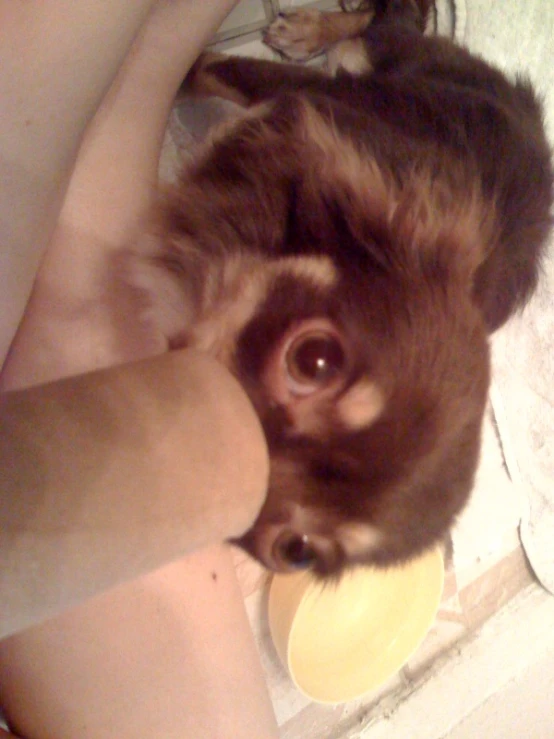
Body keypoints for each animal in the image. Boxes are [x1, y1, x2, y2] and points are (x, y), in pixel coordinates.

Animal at [132, 0, 548, 580]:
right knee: (387, 19)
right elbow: (207, 66)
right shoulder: (290, 94)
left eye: (296, 552)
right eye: (315, 360)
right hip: (379, 56)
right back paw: (310, 29)